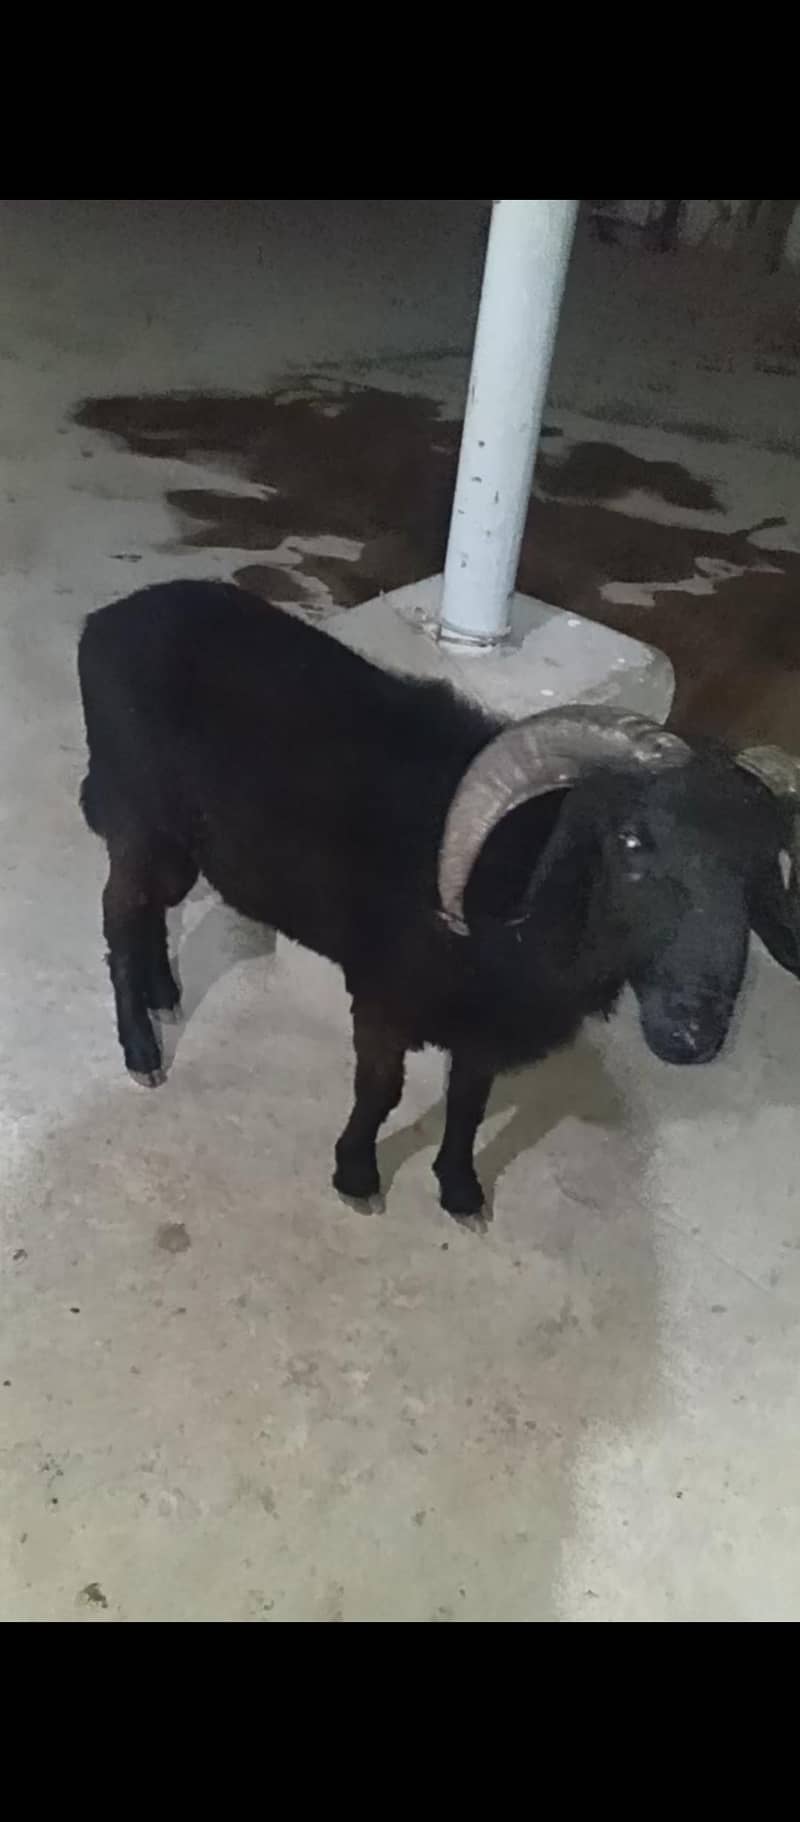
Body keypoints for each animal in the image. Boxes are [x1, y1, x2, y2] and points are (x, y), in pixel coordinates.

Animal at [78, 579, 800, 1223]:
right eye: (631, 840)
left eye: (764, 865)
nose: (693, 1034)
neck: (518, 887)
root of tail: (106, 619)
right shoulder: (384, 996)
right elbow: (381, 1092)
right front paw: (357, 1175)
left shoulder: (484, 1026)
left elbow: (469, 1104)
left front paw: (461, 1192)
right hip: (136, 816)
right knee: (118, 916)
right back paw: (142, 1050)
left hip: (179, 845)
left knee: (151, 910)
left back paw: (164, 993)